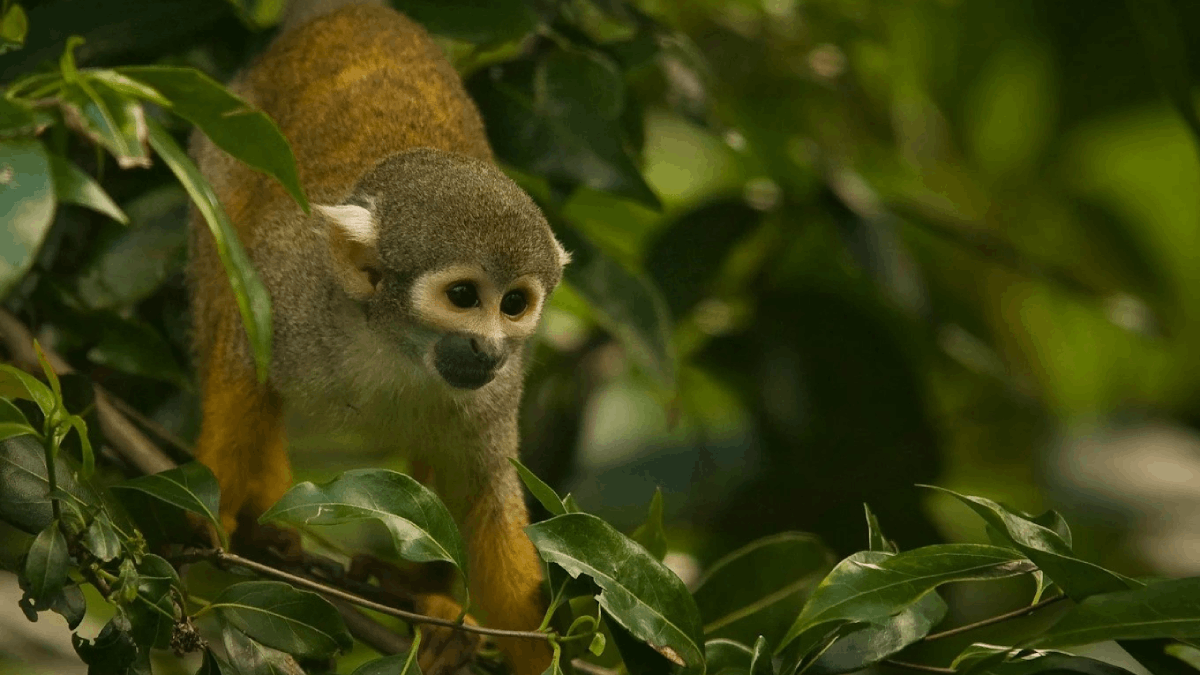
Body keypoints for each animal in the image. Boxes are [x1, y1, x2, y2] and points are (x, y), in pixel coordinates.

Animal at [186, 1, 566, 672]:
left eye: (515, 304)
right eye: (463, 297)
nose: (490, 347)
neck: (394, 347)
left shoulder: (497, 391)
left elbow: (483, 496)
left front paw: (534, 651)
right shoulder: (293, 290)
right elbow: (245, 353)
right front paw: (214, 513)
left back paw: (424, 594)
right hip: (218, 141)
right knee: (222, 250)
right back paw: (265, 510)